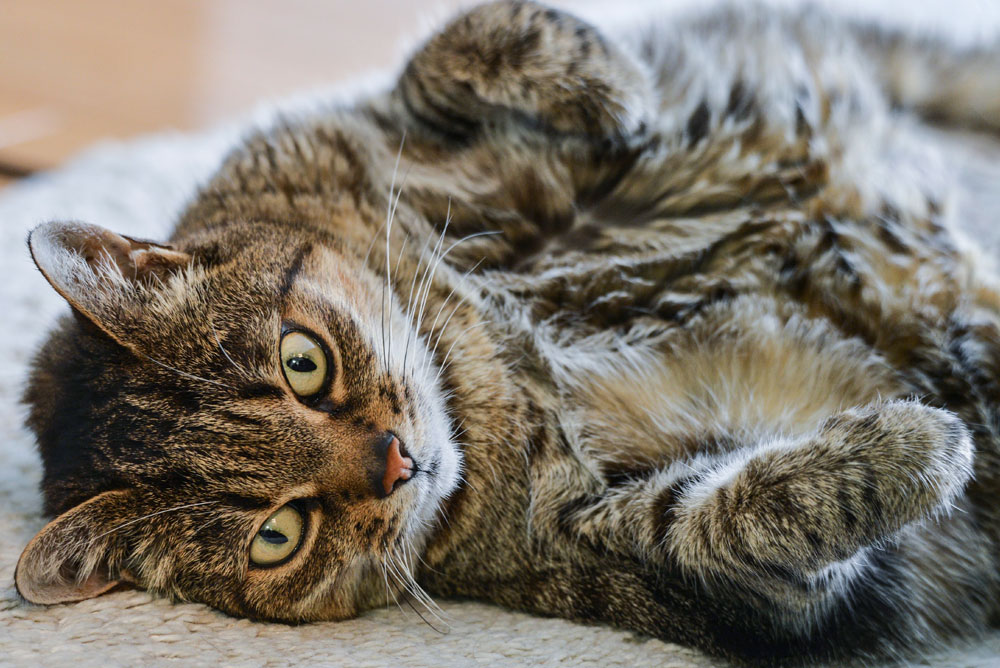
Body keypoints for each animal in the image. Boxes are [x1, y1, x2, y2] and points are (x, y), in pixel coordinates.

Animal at [11, 1, 1000, 664]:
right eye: (278, 537)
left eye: (304, 362)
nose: (397, 461)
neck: (486, 343)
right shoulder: (666, 565)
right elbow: (739, 515)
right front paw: (918, 446)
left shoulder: (355, 124)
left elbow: (462, 42)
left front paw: (615, 92)